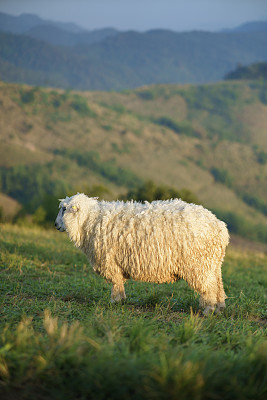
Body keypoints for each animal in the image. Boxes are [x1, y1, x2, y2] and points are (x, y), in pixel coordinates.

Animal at [55, 192, 230, 314]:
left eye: (64, 209)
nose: (56, 224)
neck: (89, 220)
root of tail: (220, 227)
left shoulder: (110, 263)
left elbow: (116, 284)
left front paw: (116, 302)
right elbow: (119, 284)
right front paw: (121, 301)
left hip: (199, 264)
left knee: (208, 288)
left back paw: (208, 310)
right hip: (213, 264)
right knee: (218, 286)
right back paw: (219, 308)